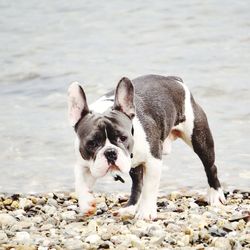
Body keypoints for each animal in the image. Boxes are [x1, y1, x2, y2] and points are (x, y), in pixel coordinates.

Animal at [67, 73, 226, 219]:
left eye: (123, 138)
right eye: (92, 143)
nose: (111, 152)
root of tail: (173, 79)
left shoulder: (153, 161)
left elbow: (149, 188)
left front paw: (146, 212)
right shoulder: (82, 163)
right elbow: (79, 181)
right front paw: (86, 203)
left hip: (199, 138)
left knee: (210, 167)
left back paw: (215, 194)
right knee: (137, 185)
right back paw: (129, 208)